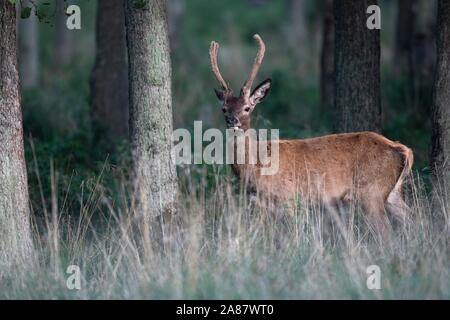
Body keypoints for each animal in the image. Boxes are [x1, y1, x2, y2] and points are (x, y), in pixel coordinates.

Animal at [209, 35, 414, 235]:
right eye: (224, 109)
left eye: (247, 108)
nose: (232, 121)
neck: (256, 167)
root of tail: (403, 150)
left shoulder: (288, 199)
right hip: (392, 194)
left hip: (371, 193)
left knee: (386, 234)